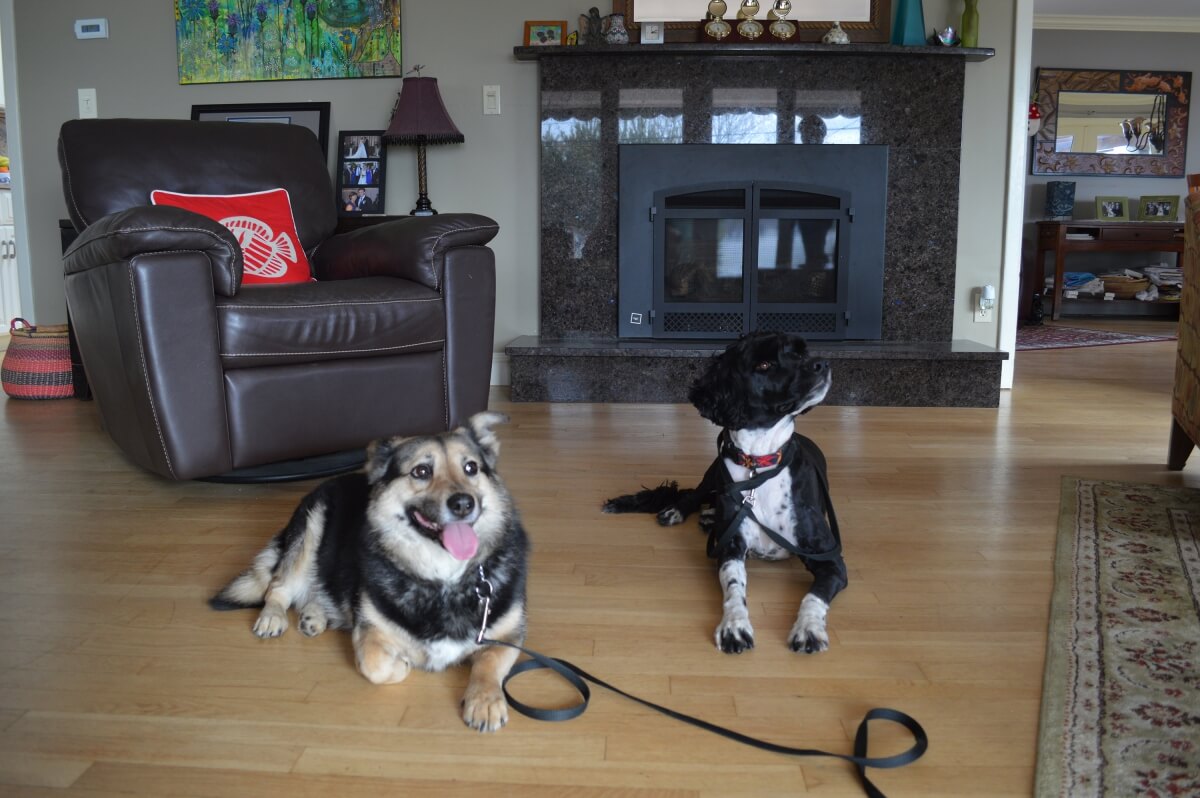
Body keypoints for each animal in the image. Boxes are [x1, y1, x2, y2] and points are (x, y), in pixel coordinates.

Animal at [604, 328, 849, 652]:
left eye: (801, 352)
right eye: (764, 365)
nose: (822, 363)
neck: (760, 464)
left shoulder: (831, 559)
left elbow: (814, 595)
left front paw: (808, 628)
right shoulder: (730, 546)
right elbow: (734, 585)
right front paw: (735, 625)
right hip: (714, 470)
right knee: (693, 495)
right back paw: (680, 511)